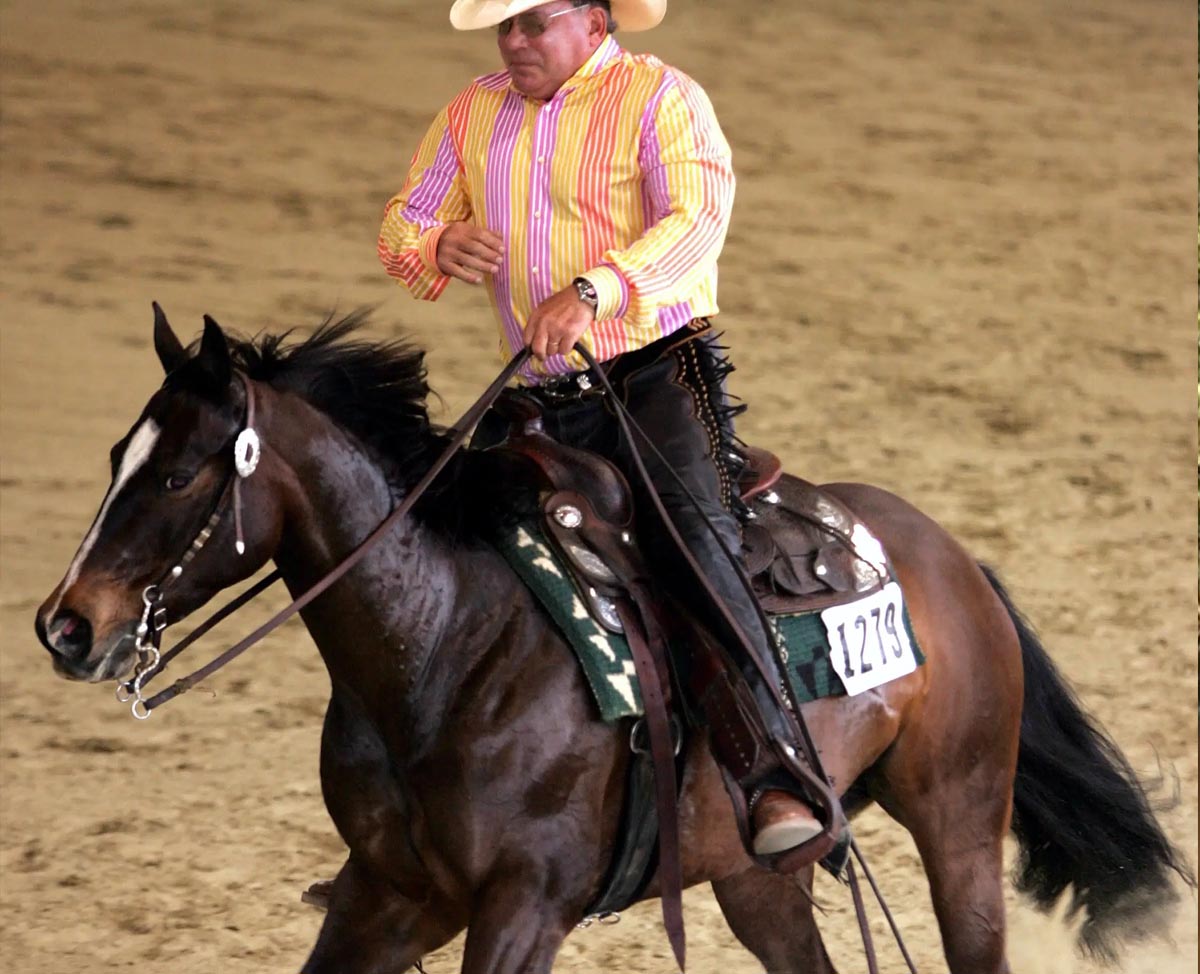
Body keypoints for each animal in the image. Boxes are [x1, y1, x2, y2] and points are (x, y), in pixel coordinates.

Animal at [32, 311, 1185, 974]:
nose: (64, 625)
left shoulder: (521, 906)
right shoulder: (388, 894)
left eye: (179, 473)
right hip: (758, 875)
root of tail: (955, 562)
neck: (443, 644)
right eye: (116, 453)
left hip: (959, 820)